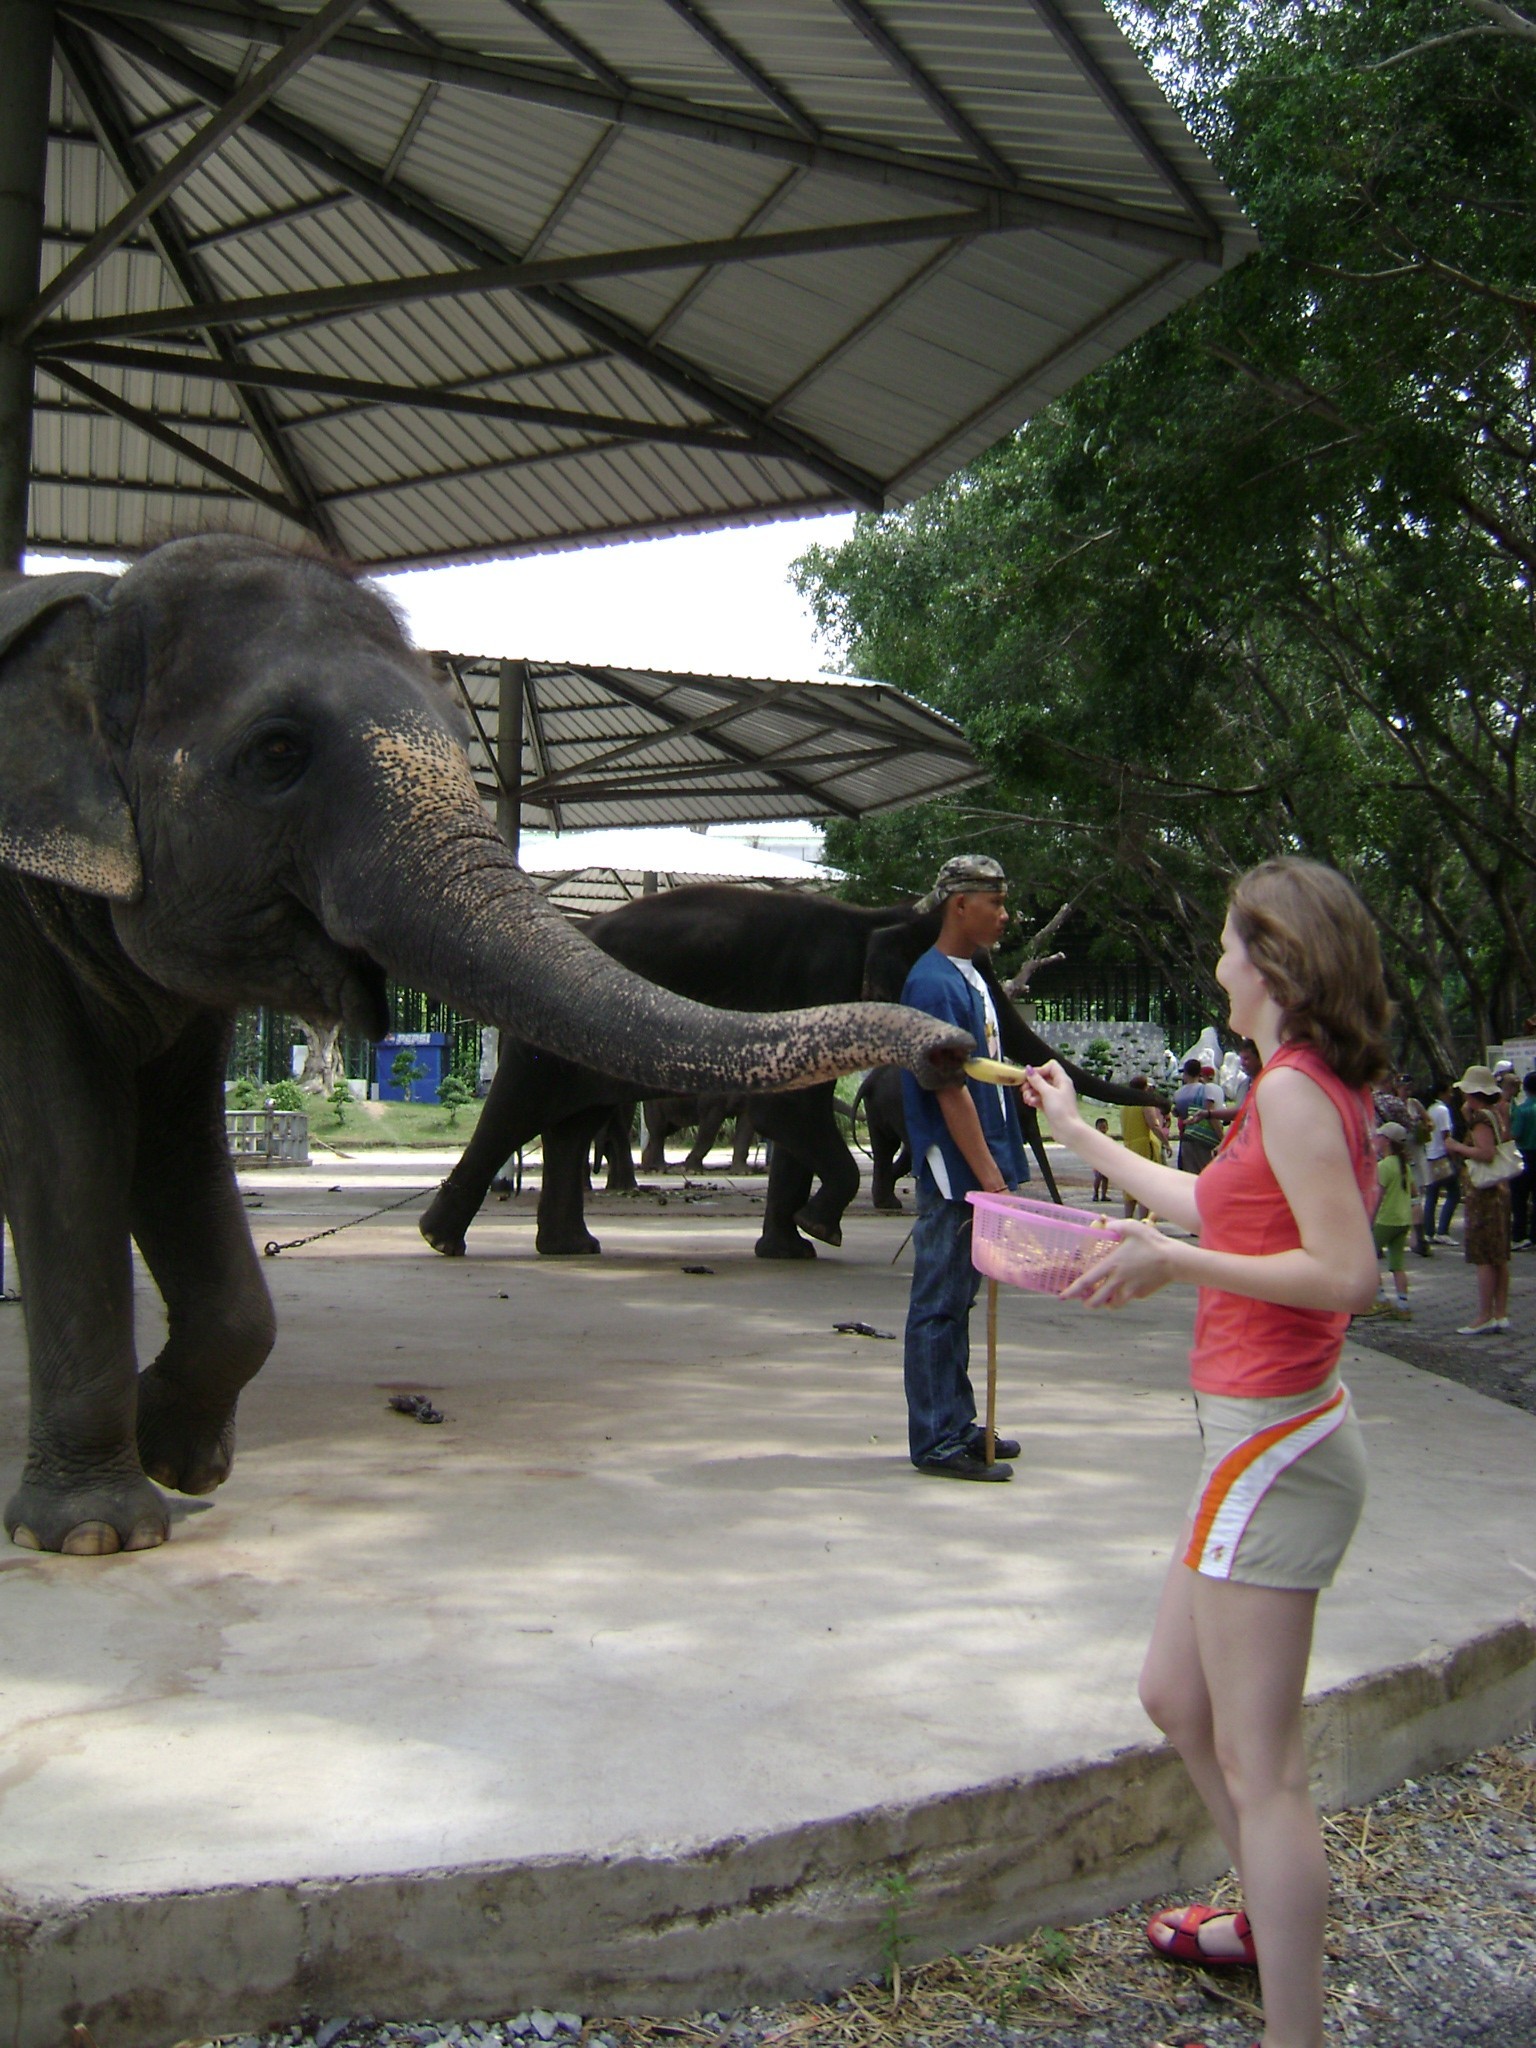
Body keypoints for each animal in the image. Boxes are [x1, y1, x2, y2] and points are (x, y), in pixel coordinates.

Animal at [0, 540, 974, 1548]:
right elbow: (66, 1143)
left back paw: (547, 1246)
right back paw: (462, 1240)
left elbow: (177, 1141)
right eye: (276, 753)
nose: (955, 1054)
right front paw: (97, 1533)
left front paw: (183, 1458)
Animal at [415, 884, 1163, 1261]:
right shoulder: (811, 990)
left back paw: (572, 1248)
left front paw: (791, 1246)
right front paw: (821, 1229)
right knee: (520, 1112)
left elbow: (793, 1123)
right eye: (973, 974)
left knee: (574, 1126)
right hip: (544, 1043)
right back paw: (442, 1240)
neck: (875, 918)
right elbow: (788, 1114)